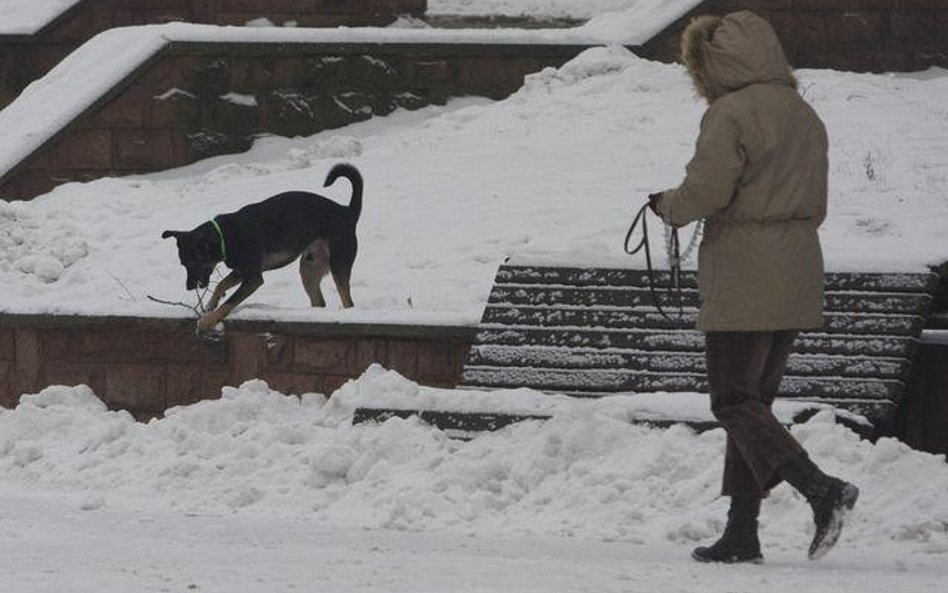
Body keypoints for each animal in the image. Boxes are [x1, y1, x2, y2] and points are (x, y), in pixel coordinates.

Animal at [161, 161, 362, 332]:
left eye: (193, 262)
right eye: (183, 264)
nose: (189, 287)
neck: (225, 235)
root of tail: (347, 211)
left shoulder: (253, 278)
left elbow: (230, 302)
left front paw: (209, 321)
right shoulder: (241, 271)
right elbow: (221, 285)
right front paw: (211, 304)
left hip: (338, 264)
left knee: (348, 301)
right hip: (309, 268)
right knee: (319, 301)